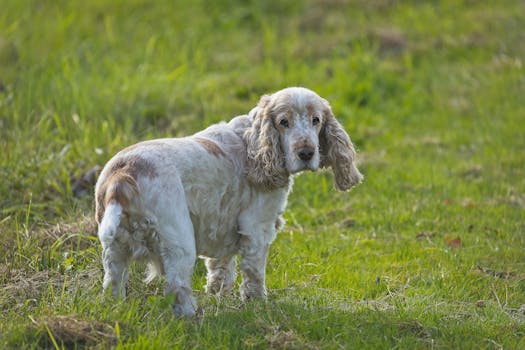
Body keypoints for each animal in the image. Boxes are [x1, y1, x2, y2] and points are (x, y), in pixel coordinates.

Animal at [94, 87, 362, 318]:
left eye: (316, 120)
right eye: (283, 122)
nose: (306, 153)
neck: (253, 144)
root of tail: (122, 176)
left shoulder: (222, 226)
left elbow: (220, 267)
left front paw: (219, 295)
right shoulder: (257, 228)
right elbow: (254, 274)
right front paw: (258, 304)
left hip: (114, 251)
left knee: (112, 283)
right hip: (179, 243)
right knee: (177, 287)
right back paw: (193, 316)